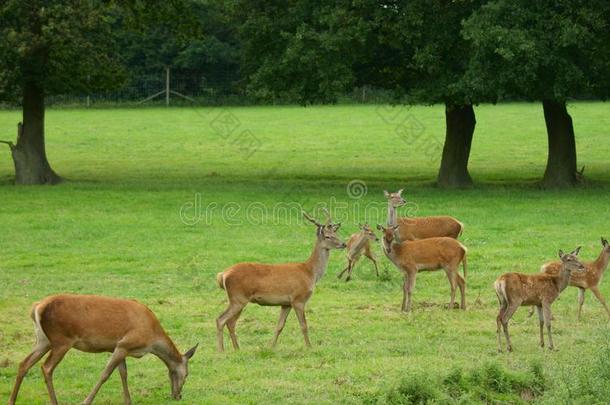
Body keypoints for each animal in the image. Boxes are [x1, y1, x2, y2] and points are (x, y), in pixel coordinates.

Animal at [8, 294, 197, 404]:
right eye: (187, 374)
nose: (178, 396)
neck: (151, 340)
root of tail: (37, 307)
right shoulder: (125, 344)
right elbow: (106, 374)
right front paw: (86, 401)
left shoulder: (119, 347)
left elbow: (123, 373)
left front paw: (128, 400)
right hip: (61, 340)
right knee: (46, 367)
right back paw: (54, 402)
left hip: (43, 340)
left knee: (24, 363)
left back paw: (11, 400)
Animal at [216, 208, 344, 350]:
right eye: (327, 236)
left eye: (336, 233)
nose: (343, 244)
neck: (310, 273)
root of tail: (223, 274)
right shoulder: (298, 299)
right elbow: (304, 325)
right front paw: (309, 347)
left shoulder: (286, 303)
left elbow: (279, 326)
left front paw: (271, 347)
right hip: (238, 298)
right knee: (221, 319)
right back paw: (221, 350)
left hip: (238, 299)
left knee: (230, 322)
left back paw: (237, 349)